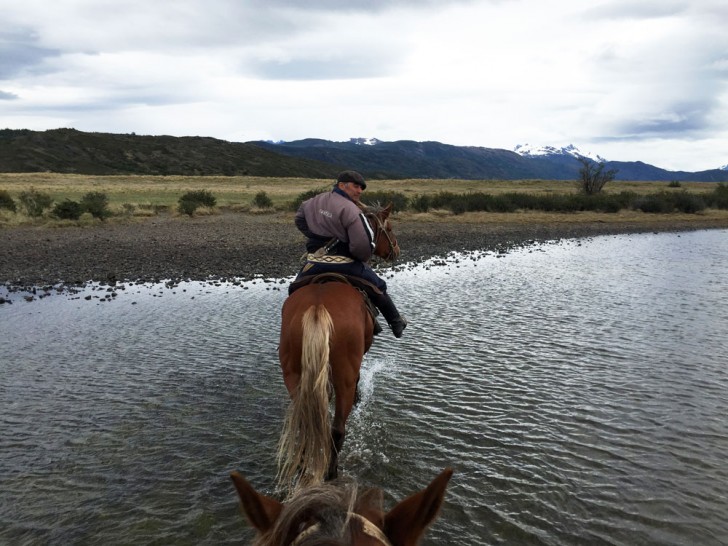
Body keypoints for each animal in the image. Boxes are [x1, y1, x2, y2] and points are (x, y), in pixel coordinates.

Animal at [278, 204, 400, 488]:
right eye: (388, 228)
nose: (397, 250)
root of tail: (317, 308)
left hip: (293, 375)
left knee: (306, 424)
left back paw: (304, 465)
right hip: (343, 371)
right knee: (337, 429)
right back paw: (331, 472)